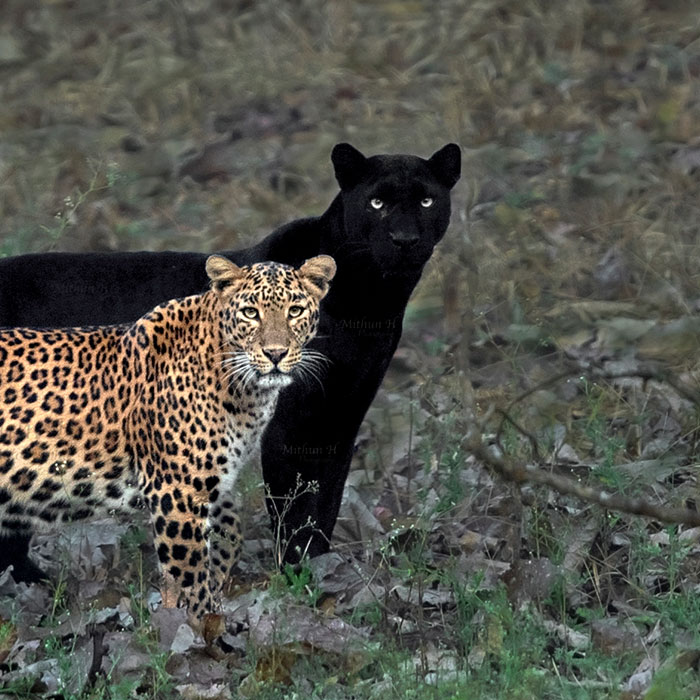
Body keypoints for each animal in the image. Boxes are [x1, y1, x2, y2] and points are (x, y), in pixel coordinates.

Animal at [0, 254, 336, 621]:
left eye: (295, 310)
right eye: (250, 312)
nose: (275, 353)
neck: (243, 390)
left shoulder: (210, 481)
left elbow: (230, 532)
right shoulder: (177, 491)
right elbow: (190, 571)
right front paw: (203, 624)